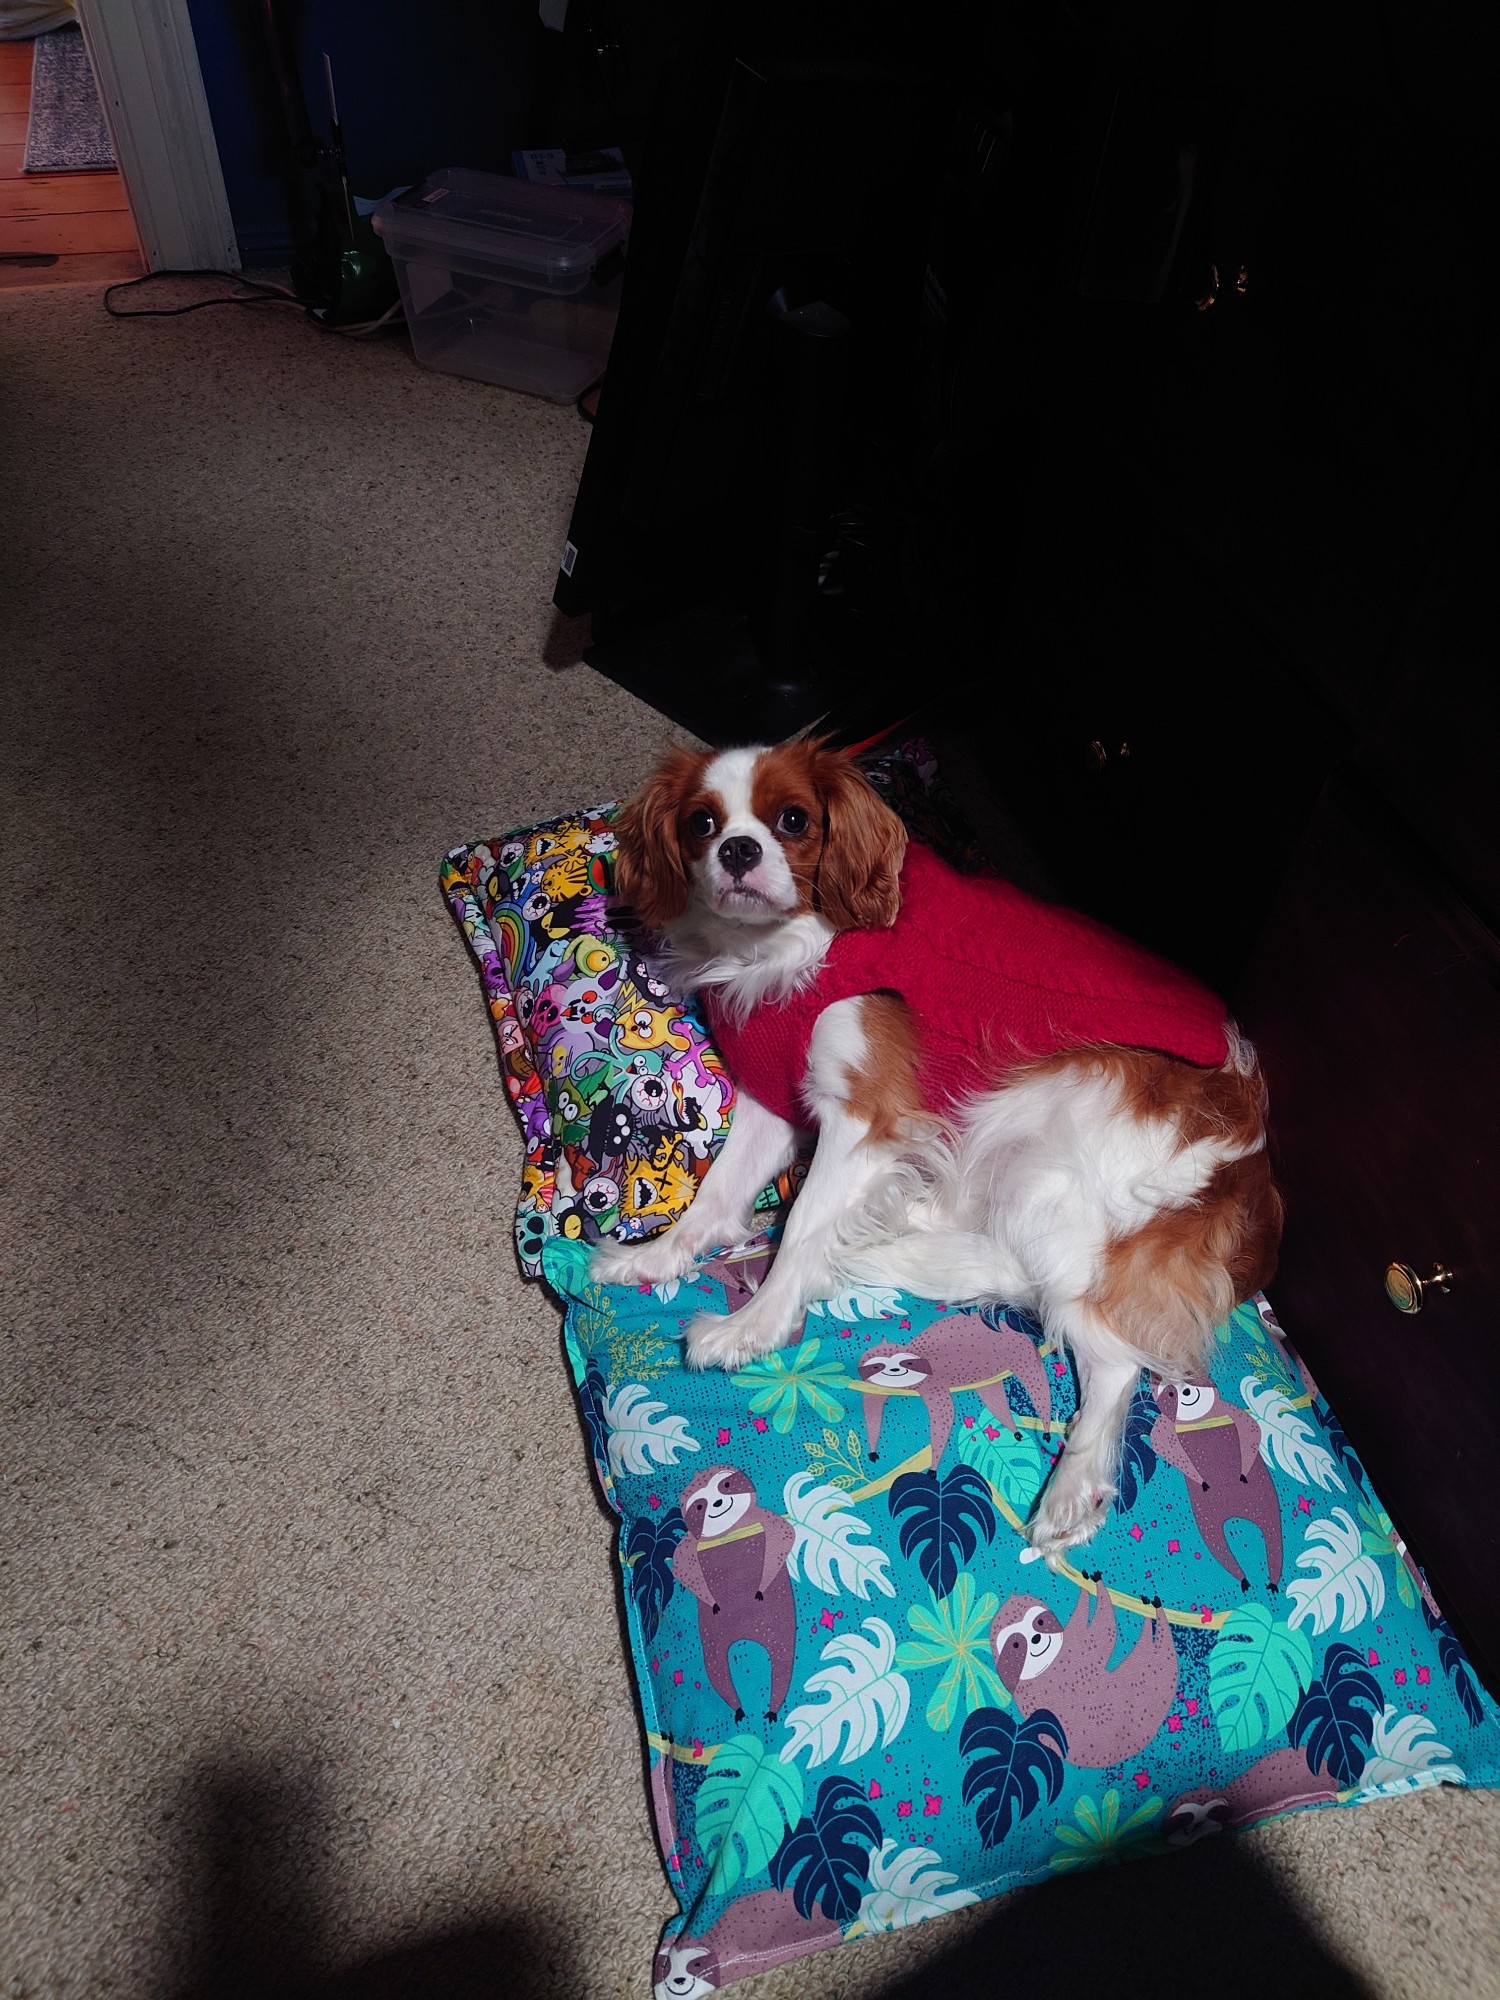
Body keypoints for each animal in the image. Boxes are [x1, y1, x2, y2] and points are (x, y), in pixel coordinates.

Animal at [591, 739, 1282, 1563]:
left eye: (792, 820)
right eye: (702, 824)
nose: (737, 850)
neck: (789, 948)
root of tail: (1254, 1183)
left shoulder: (867, 1119)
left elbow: (802, 1228)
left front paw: (753, 1327)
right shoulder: (775, 1103)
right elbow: (716, 1197)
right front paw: (658, 1258)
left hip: (1049, 1148)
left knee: (1108, 1355)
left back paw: (1072, 1489)